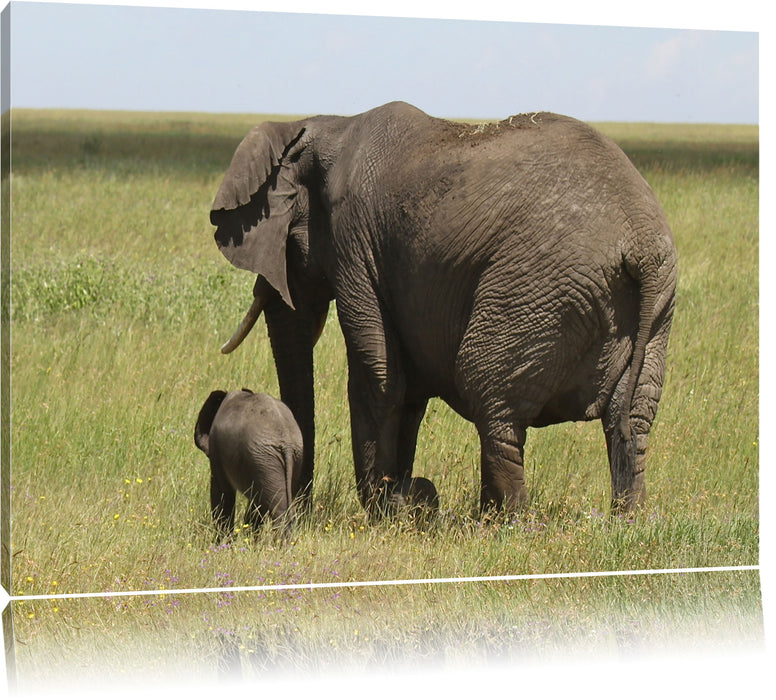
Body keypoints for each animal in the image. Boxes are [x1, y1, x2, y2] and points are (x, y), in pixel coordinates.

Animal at [209, 102, 676, 520]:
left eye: (287, 242)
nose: (303, 510)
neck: (327, 125)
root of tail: (640, 244)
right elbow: (408, 388)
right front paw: (397, 501)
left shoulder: (354, 243)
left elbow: (377, 370)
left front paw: (385, 511)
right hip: (654, 312)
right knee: (631, 418)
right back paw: (625, 520)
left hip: (538, 288)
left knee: (488, 393)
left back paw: (504, 524)